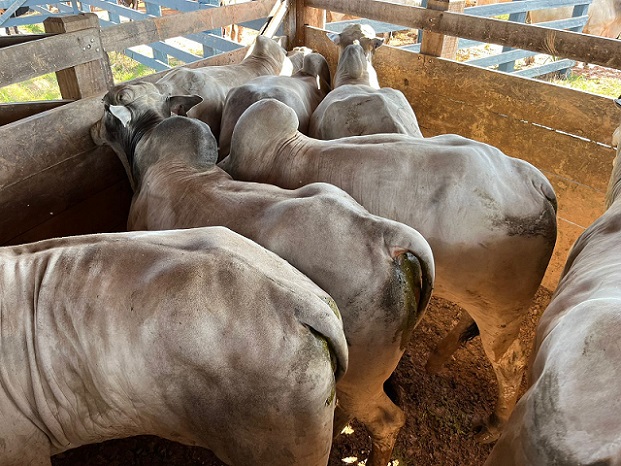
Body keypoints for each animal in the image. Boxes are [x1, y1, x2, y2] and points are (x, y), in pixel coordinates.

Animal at [91, 82, 436, 466]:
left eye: (105, 106)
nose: (91, 130)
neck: (173, 164)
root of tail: (387, 237)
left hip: (361, 381)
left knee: (388, 421)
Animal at [219, 99, 556, 444]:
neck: (289, 153)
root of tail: (535, 181)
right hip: (486, 301)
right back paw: (437, 358)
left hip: (502, 310)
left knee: (511, 362)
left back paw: (492, 426)